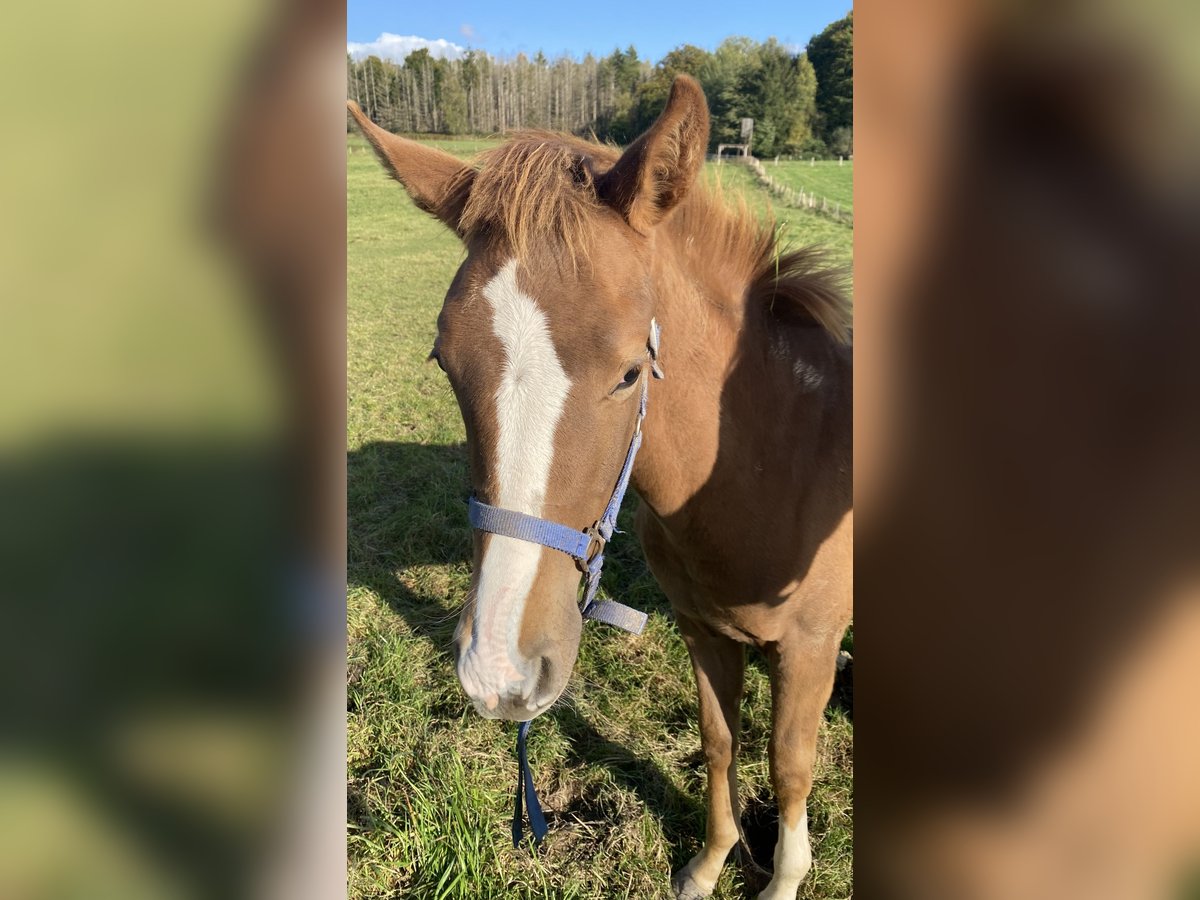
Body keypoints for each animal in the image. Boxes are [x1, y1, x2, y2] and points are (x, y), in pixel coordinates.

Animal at [348, 77, 854, 900]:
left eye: (628, 372)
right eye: (443, 360)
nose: (500, 672)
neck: (779, 462)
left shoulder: (809, 647)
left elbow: (789, 766)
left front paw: (782, 879)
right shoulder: (702, 629)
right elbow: (720, 744)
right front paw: (710, 864)